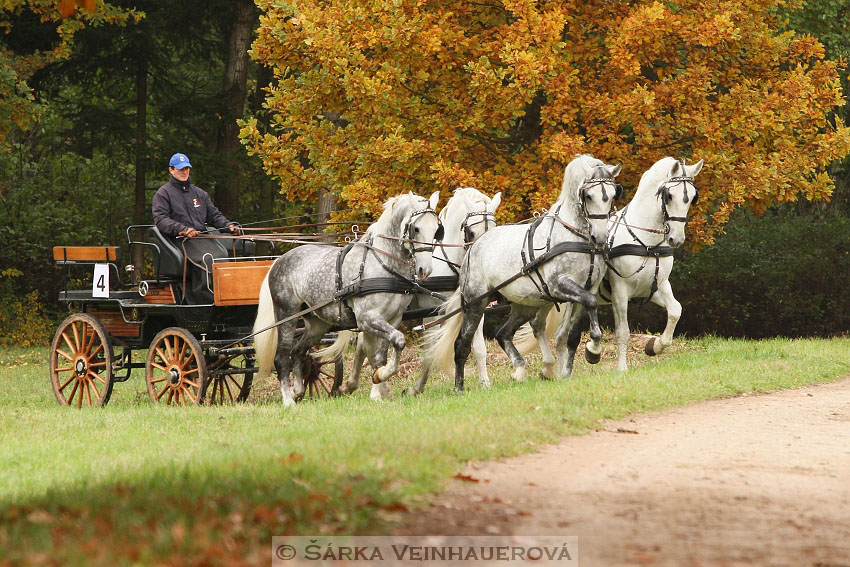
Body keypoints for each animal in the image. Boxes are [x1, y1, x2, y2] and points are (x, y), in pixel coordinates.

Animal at [250, 193, 440, 406]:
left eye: (436, 229)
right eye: (416, 228)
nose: (425, 270)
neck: (383, 264)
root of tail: (279, 260)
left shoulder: (393, 319)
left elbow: (381, 356)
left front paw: (378, 383)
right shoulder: (367, 318)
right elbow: (397, 341)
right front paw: (380, 381)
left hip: (317, 324)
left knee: (298, 352)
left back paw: (297, 391)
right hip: (286, 314)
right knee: (282, 357)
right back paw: (288, 400)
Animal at [334, 187, 500, 400]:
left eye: (494, 228)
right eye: (471, 232)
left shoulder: (473, 307)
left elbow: (479, 348)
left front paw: (485, 383)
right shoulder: (431, 315)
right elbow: (429, 353)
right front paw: (416, 388)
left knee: (365, 344)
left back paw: (356, 385)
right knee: (367, 344)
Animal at [428, 154, 620, 390]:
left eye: (612, 195)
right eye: (588, 195)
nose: (600, 238)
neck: (577, 238)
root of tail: (473, 248)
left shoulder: (587, 289)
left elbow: (574, 333)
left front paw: (570, 369)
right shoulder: (559, 285)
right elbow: (590, 305)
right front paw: (593, 350)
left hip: (524, 305)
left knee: (503, 333)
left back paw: (519, 370)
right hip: (475, 303)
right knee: (462, 343)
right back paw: (459, 387)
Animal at [516, 158, 704, 374]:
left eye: (692, 198)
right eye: (670, 195)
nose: (677, 239)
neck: (648, 244)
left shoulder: (658, 285)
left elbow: (675, 311)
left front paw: (654, 346)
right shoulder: (620, 290)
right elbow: (623, 332)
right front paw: (616, 365)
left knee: (553, 331)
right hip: (546, 294)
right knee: (537, 325)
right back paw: (548, 367)